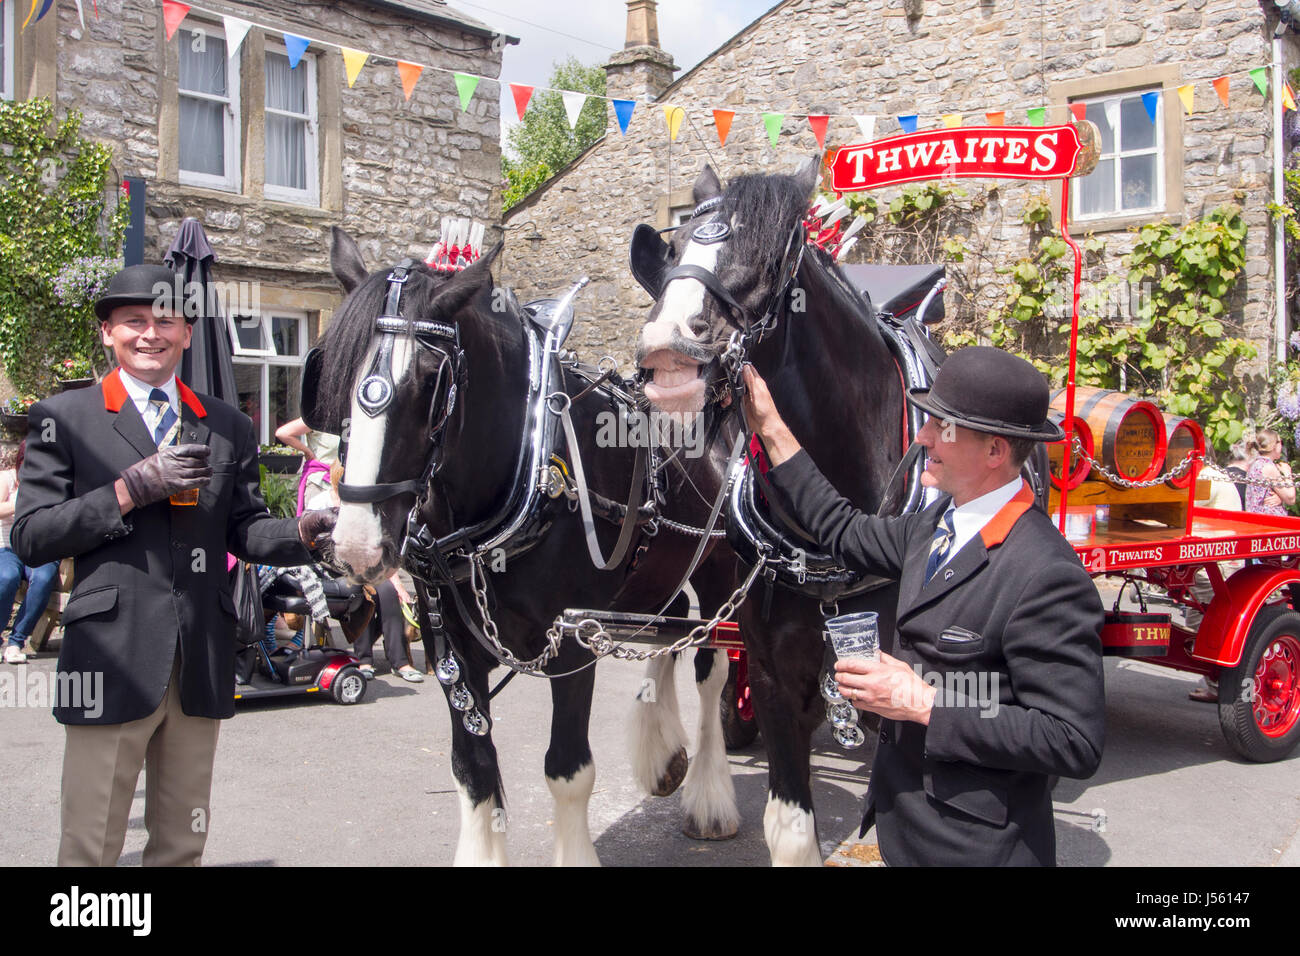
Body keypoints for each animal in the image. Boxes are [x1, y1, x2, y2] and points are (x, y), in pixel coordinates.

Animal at [310, 227, 748, 863]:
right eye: (335, 376)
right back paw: (663, 754)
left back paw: (710, 798)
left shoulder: (572, 640)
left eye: (430, 383)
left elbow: (567, 771)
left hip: (718, 568)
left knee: (710, 666)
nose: (355, 546)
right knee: (666, 633)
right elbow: (472, 767)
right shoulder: (455, 645)